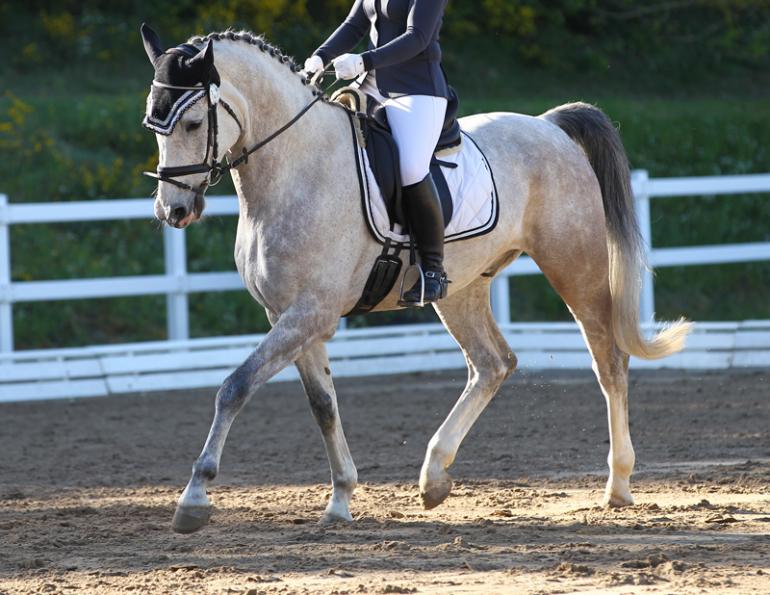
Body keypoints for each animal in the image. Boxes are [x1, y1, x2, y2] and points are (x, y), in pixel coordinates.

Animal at [139, 25, 692, 534]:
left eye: (193, 121)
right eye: (154, 125)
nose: (174, 211)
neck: (295, 166)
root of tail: (547, 125)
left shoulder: (310, 313)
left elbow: (235, 386)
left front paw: (194, 498)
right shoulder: (290, 316)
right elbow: (323, 405)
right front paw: (340, 500)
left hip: (575, 266)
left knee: (608, 362)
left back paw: (617, 484)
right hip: (461, 288)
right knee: (493, 364)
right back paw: (434, 478)